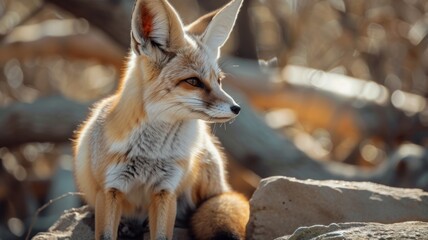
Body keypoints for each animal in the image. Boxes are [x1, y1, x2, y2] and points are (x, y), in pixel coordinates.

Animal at [72, 0, 249, 240]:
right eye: (193, 81)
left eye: (219, 81)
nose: (236, 108)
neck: (151, 155)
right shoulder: (109, 190)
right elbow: (106, 233)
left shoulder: (166, 191)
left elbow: (163, 234)